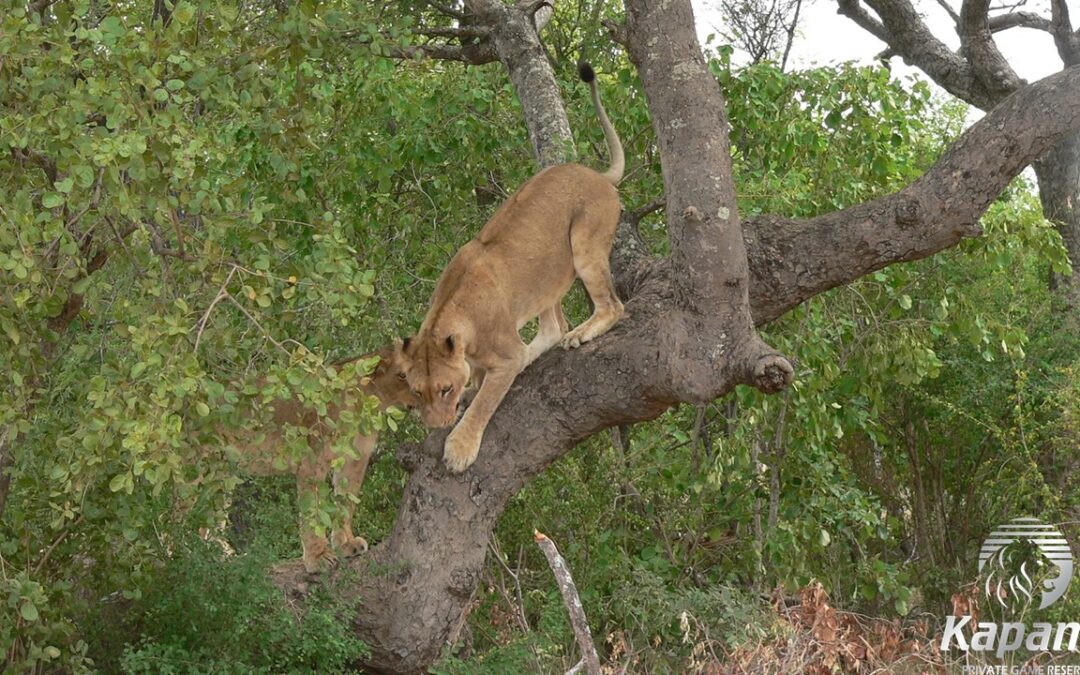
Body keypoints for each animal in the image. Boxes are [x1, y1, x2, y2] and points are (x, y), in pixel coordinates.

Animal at [214, 345, 418, 573]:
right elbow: (313, 512)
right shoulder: (312, 462)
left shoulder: (354, 459)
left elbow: (346, 503)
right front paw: (317, 558)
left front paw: (346, 544)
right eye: (403, 375)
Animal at [400, 62, 625, 473]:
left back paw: (581, 334)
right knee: (553, 326)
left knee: (611, 307)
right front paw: (470, 391)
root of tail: (596, 174)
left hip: (584, 247)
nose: (436, 424)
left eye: (444, 389)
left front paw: (460, 447)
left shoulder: (504, 356)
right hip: (548, 274)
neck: (452, 313)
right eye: (417, 392)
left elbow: (486, 402)